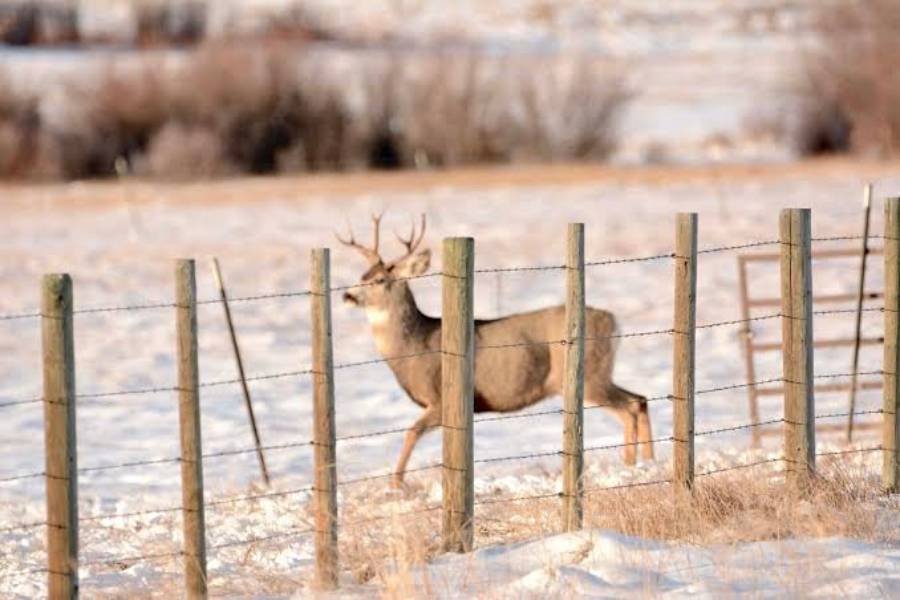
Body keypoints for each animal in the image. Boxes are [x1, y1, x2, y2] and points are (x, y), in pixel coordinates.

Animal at [337, 214, 654, 487]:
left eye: (379, 280)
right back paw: (648, 462)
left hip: (587, 376)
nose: (347, 295)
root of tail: (613, 321)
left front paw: (397, 485)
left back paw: (630, 464)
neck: (416, 345)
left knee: (629, 407)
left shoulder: (442, 398)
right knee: (640, 399)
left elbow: (411, 432)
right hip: (599, 374)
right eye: (361, 274)